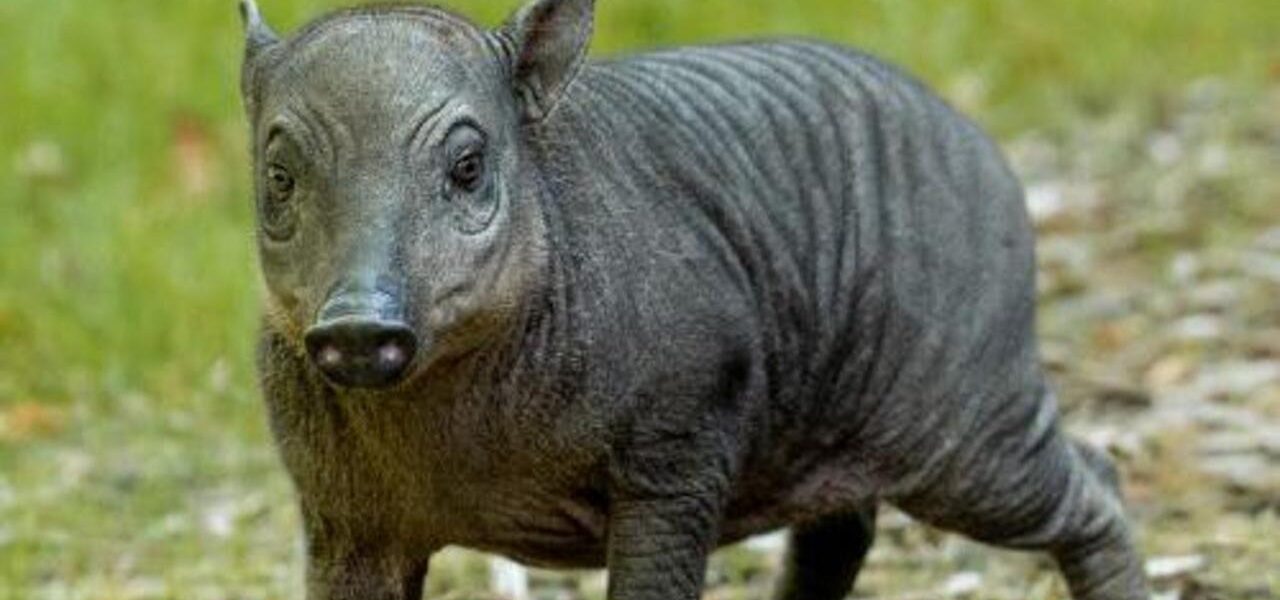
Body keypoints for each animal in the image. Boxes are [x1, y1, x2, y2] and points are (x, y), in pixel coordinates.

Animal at [237, 0, 1149, 598]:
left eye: (466, 167)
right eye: (278, 176)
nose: (358, 328)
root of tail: (979, 143)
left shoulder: (676, 460)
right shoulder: (344, 517)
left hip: (966, 425)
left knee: (1097, 483)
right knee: (839, 532)